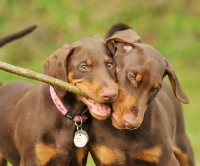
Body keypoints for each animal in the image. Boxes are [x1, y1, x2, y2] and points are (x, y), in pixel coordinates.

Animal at [0, 38, 117, 166]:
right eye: (84, 67)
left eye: (110, 64)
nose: (112, 94)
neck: (67, 117)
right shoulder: (32, 159)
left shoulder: (78, 160)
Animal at [88, 26, 195, 165]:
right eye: (131, 76)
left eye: (155, 89)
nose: (131, 123)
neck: (124, 134)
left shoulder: (167, 160)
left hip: (184, 148)